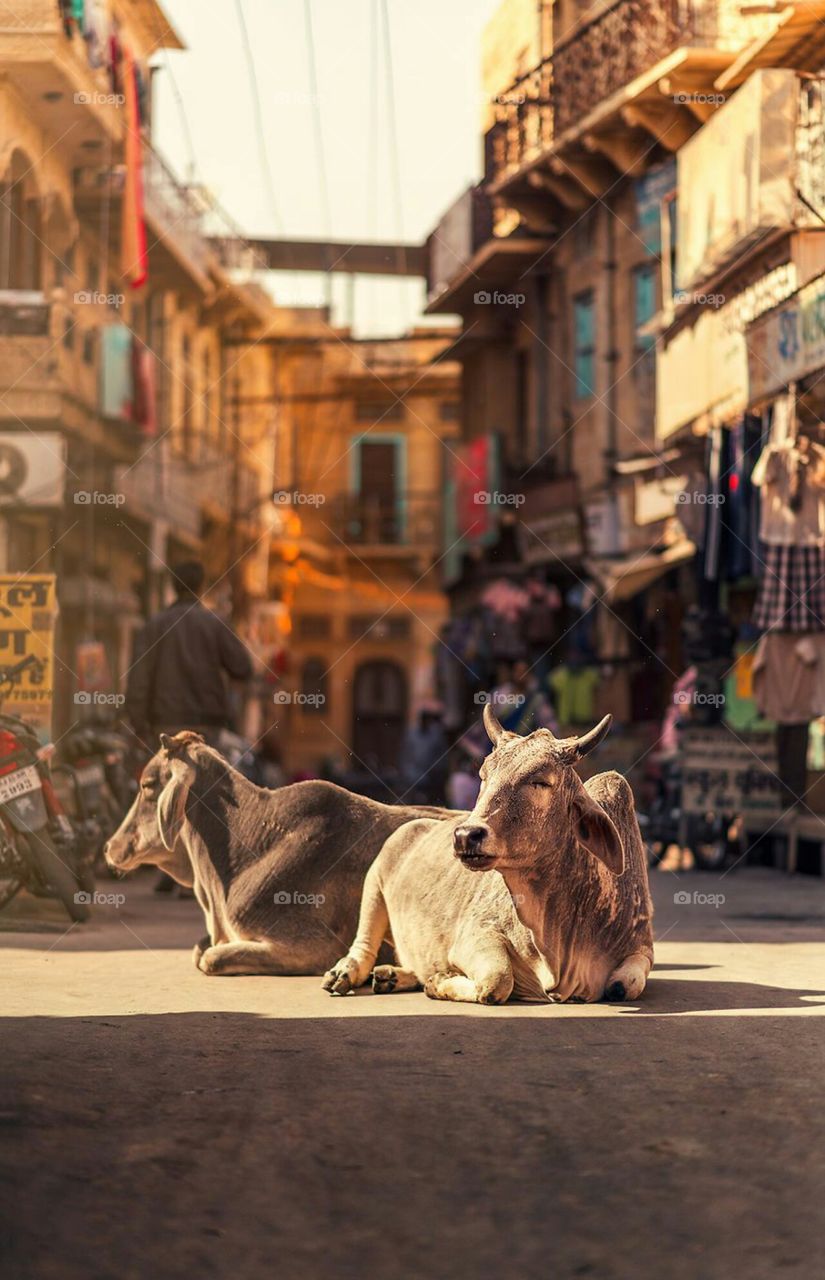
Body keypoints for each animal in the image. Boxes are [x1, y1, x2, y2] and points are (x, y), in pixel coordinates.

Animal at [322, 705, 654, 1004]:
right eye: (483, 776)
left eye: (540, 781)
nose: (465, 835)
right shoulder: (476, 935)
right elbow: (497, 982)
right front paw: (441, 981)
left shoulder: (642, 948)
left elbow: (623, 986)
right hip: (374, 883)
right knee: (363, 944)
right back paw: (345, 974)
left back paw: (392, 976)